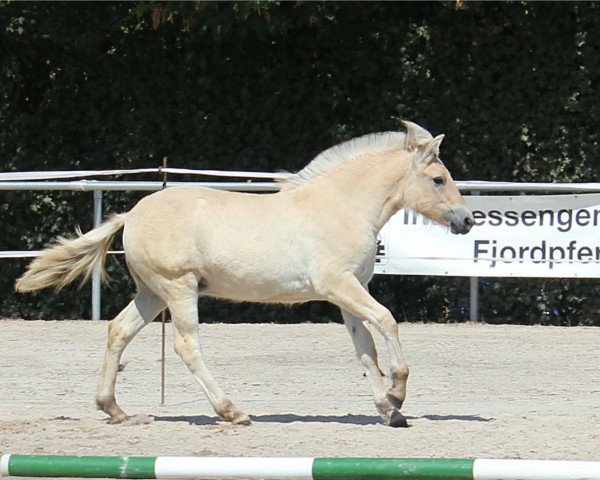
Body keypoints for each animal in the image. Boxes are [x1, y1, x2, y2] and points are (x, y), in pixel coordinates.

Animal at [16, 120, 474, 428]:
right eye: (438, 179)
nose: (467, 220)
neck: (344, 206)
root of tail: (132, 214)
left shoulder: (349, 293)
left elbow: (366, 349)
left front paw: (388, 411)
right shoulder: (340, 286)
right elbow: (387, 322)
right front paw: (397, 393)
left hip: (152, 294)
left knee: (117, 331)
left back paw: (115, 410)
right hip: (178, 288)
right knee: (186, 346)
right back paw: (232, 411)